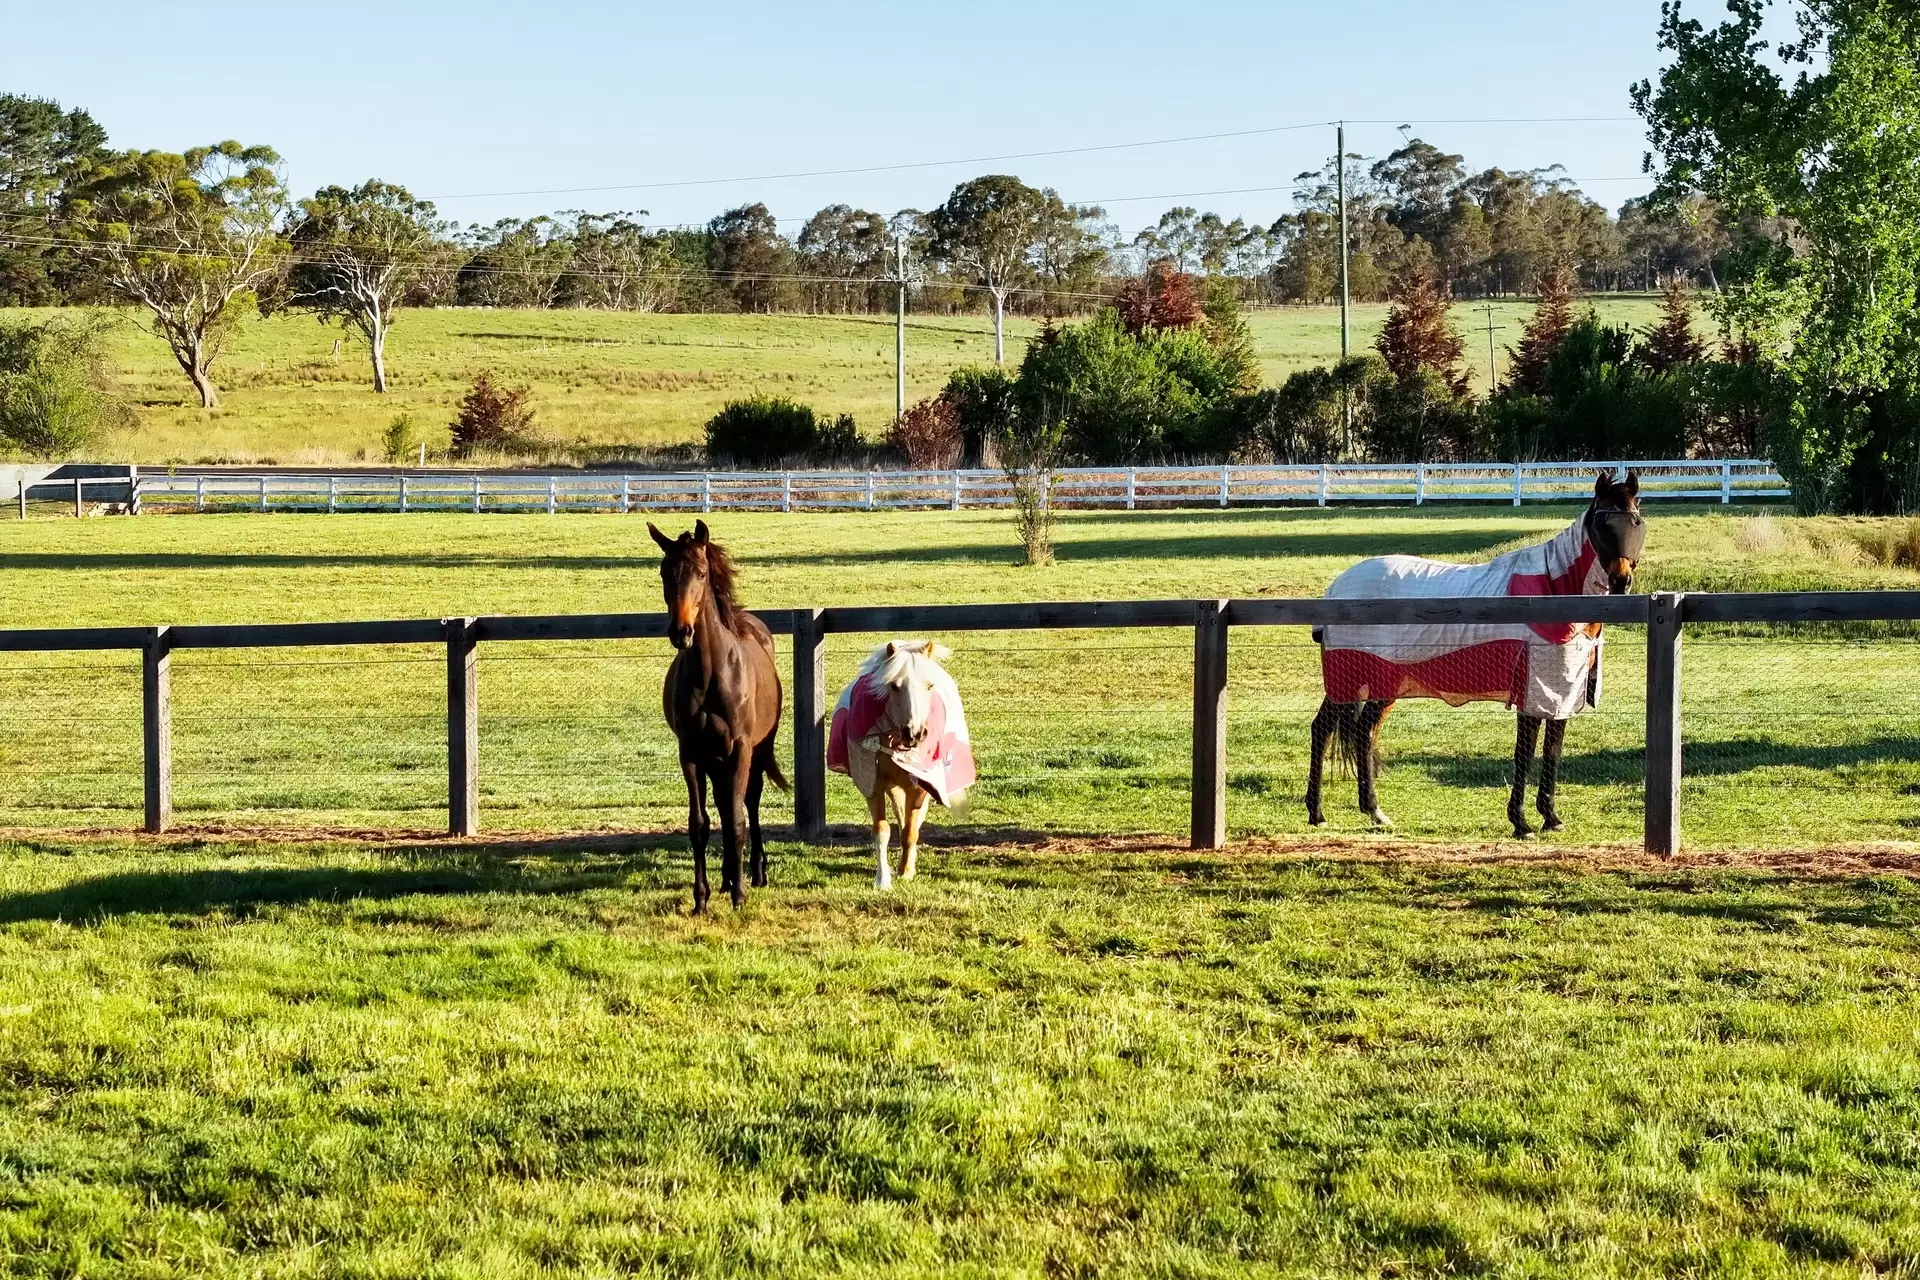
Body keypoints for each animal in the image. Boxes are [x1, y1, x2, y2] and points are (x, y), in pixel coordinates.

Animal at [652, 521, 787, 909]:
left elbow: (738, 817)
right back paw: (727, 877)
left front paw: (740, 895)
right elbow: (700, 823)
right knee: (725, 804)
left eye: (701, 572)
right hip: (715, 758)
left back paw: (754, 873)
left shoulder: (740, 748)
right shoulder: (691, 752)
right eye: (665, 571)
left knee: (749, 801)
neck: (711, 674)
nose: (681, 632)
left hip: (757, 749)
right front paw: (702, 898)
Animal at [829, 640, 975, 890]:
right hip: (894, 788)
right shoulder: (874, 785)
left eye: (930, 686)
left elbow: (910, 832)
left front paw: (906, 871)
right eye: (894, 686)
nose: (914, 733)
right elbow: (882, 830)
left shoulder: (919, 787)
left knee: (911, 824)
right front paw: (883, 879)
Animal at [1305, 470, 1651, 840]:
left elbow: (1553, 752)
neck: (1550, 595)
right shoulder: (1532, 691)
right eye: (1602, 523)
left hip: (1386, 683)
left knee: (1364, 732)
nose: (1621, 581)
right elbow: (1525, 752)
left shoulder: (1561, 692)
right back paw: (1317, 813)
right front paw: (1521, 823)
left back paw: (1375, 812)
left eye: (1636, 522)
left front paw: (1551, 817)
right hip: (1347, 677)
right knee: (1323, 728)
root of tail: (1336, 589)